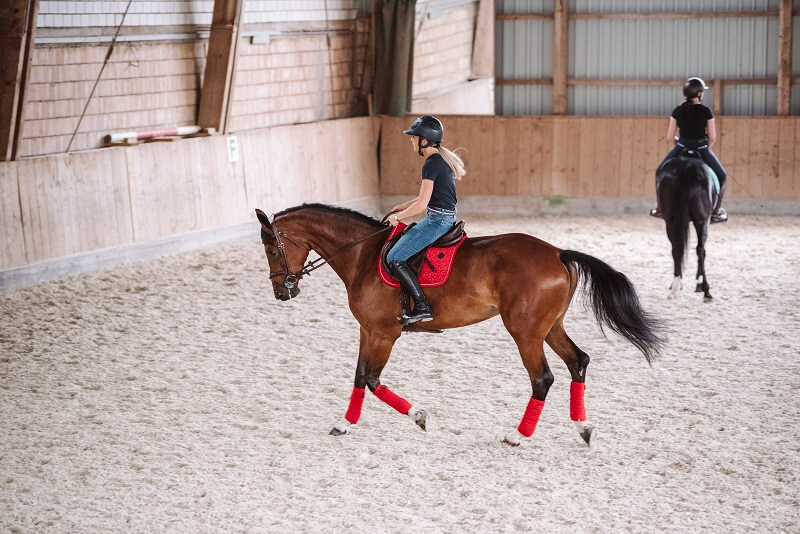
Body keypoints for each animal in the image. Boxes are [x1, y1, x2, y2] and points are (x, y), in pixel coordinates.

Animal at [255, 204, 664, 448]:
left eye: (272, 250)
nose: (281, 291)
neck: (363, 256)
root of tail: (557, 253)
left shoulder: (384, 334)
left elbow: (371, 379)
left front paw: (420, 417)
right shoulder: (368, 330)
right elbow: (359, 377)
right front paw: (344, 424)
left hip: (525, 332)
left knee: (543, 378)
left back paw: (517, 435)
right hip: (549, 327)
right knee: (578, 362)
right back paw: (584, 428)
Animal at [656, 157, 720, 304]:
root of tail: (686, 167)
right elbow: (702, 251)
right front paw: (699, 283)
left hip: (670, 221)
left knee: (676, 249)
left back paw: (675, 286)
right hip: (701, 220)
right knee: (700, 250)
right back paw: (706, 291)